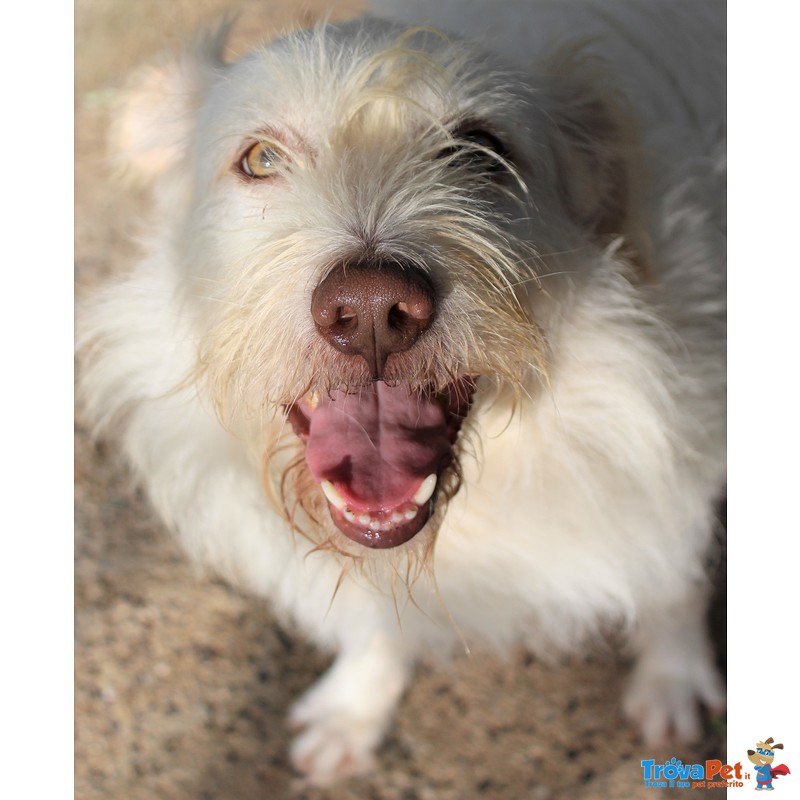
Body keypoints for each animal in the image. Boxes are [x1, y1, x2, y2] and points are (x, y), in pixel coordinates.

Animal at [79, 0, 724, 788]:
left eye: (481, 152)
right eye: (260, 159)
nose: (370, 309)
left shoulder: (681, 430)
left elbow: (673, 573)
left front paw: (673, 674)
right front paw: (356, 705)